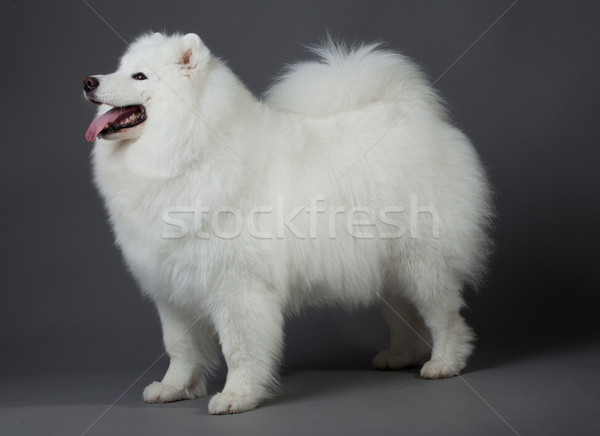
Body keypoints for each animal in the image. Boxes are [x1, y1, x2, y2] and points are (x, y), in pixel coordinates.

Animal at [83, 32, 492, 414]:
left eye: (139, 76)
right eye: (118, 69)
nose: (88, 81)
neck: (189, 152)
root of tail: (412, 113)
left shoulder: (237, 286)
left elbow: (238, 347)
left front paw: (237, 396)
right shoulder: (171, 288)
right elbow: (180, 348)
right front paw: (174, 388)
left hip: (423, 263)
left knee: (445, 316)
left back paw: (444, 363)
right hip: (389, 269)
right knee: (406, 316)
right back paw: (401, 356)